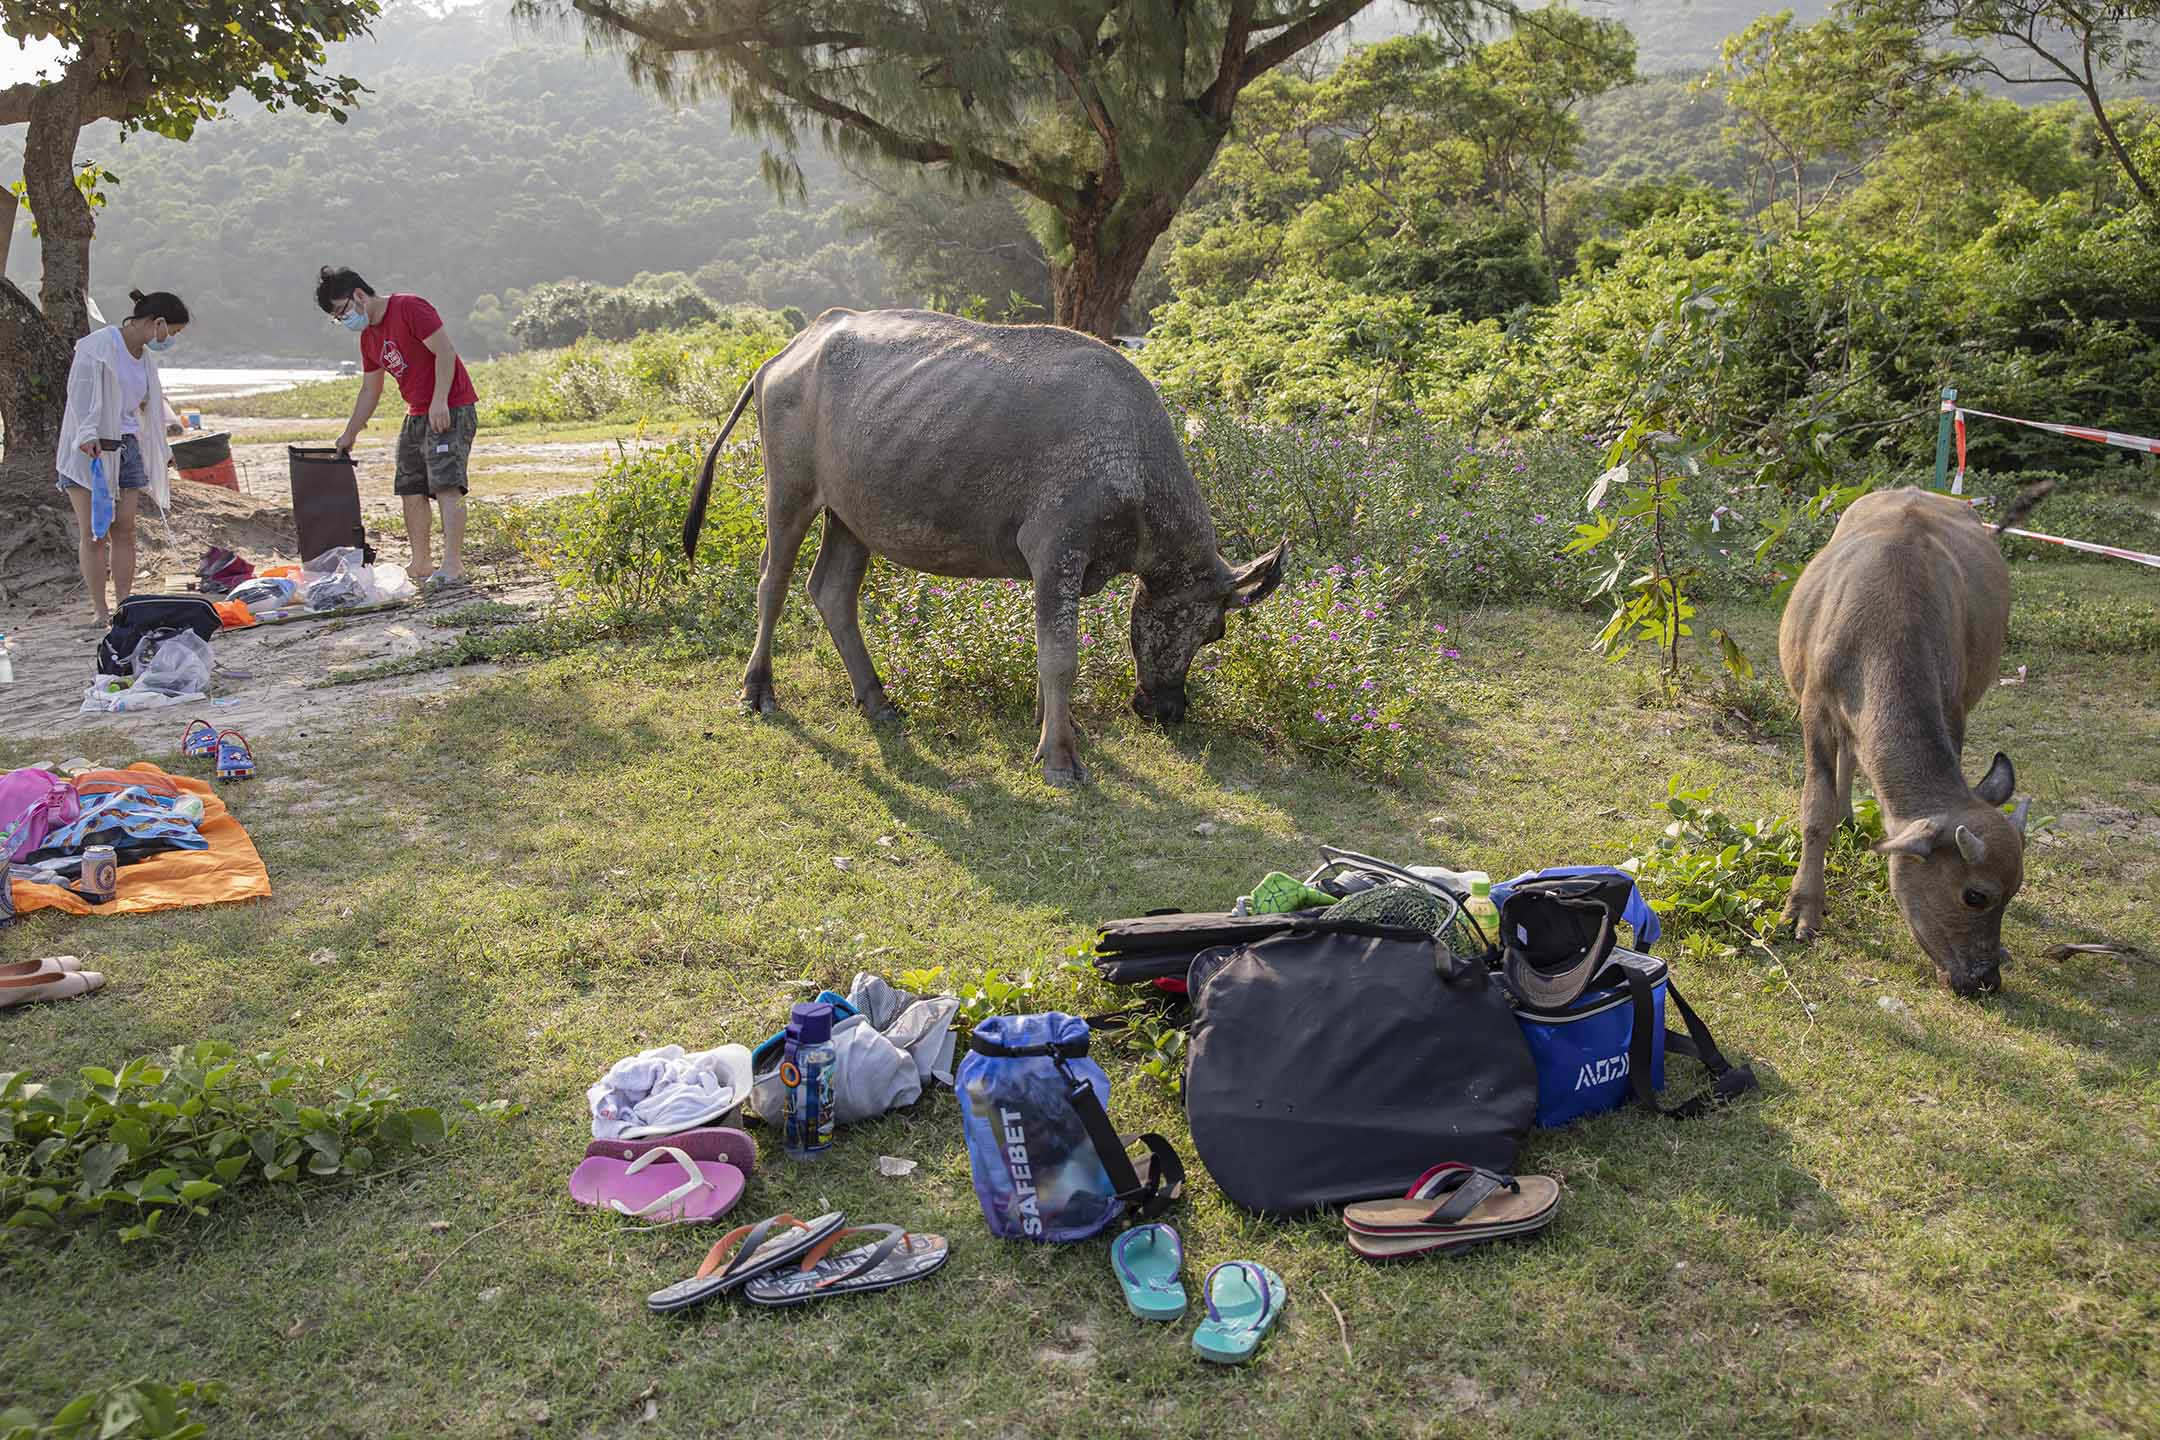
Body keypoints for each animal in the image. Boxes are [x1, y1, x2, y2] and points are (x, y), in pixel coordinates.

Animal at [686, 310, 1278, 790]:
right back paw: (758, 688)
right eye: (1214, 631)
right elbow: (1060, 656)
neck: (1130, 463)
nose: (1170, 710)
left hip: (851, 516)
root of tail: (785, 353)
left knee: (831, 592)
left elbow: (1045, 651)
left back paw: (877, 699)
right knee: (773, 583)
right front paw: (1059, 756)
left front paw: (1055, 722)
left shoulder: (1052, 572)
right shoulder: (1056, 552)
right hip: (789, 493)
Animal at [1771, 490, 2021, 997]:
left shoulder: (1954, 711)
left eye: (2014, 891)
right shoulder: (1815, 711)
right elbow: (1815, 810)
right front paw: (1802, 909)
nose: (1985, 979)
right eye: (1975, 895)